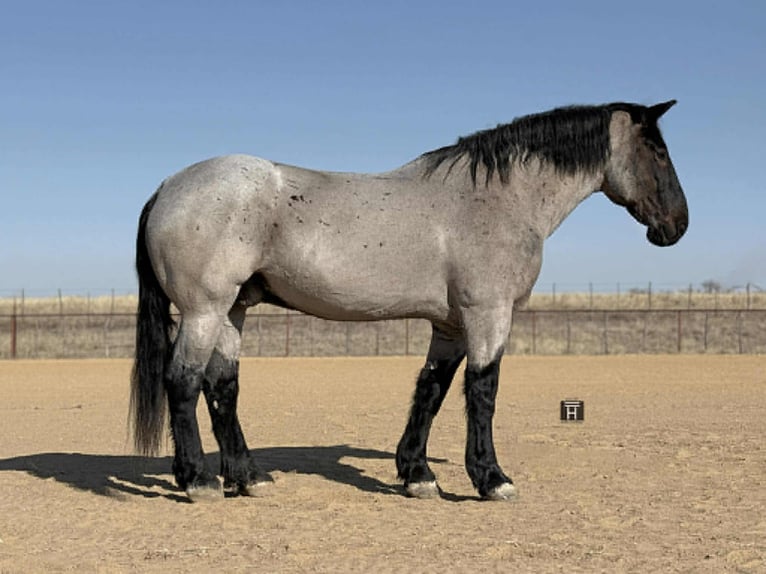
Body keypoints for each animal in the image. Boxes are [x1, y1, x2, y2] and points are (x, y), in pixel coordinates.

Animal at [131, 100, 688, 502]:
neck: (497, 199)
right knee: (183, 382)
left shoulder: (452, 325)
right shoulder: (489, 315)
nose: (677, 226)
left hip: (232, 311)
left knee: (222, 387)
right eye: (658, 152)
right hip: (204, 310)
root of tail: (168, 187)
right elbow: (483, 391)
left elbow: (432, 390)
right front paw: (491, 479)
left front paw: (417, 475)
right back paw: (199, 481)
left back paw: (248, 478)